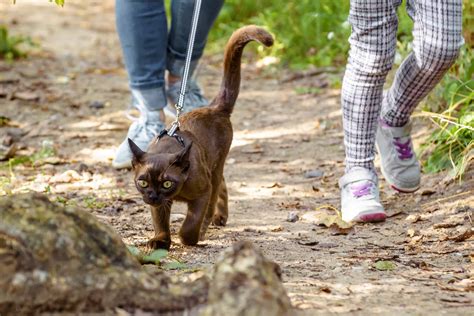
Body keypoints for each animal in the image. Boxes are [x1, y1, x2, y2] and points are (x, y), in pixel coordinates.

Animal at [128, 25, 274, 249]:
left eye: (167, 183)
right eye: (143, 183)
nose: (153, 195)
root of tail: (214, 107)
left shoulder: (202, 193)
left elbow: (192, 222)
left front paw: (189, 238)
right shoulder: (160, 204)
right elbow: (160, 222)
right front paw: (160, 242)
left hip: (215, 169)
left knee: (215, 195)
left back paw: (208, 227)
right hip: (212, 168)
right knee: (223, 186)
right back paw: (220, 218)